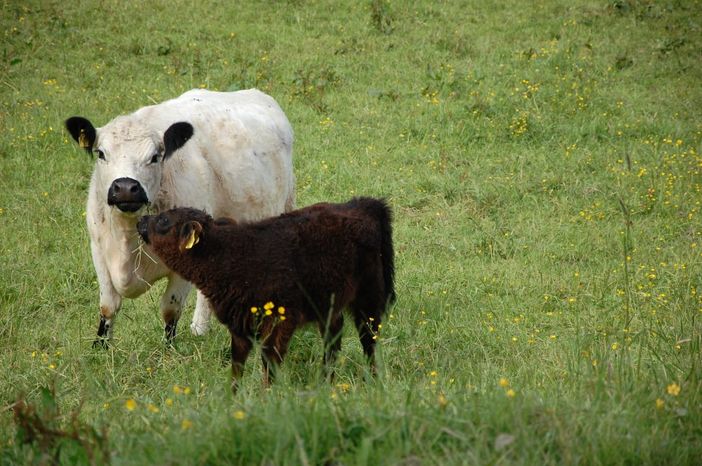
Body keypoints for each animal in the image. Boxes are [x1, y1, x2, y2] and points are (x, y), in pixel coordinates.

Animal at [64, 90, 296, 346]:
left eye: (155, 157)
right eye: (101, 153)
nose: (125, 188)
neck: (128, 240)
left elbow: (170, 310)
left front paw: (168, 349)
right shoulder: (99, 250)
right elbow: (108, 306)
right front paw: (100, 347)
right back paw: (200, 328)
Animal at [135, 197, 394, 390]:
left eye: (164, 220)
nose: (141, 220)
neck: (229, 257)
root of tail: (361, 204)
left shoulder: (280, 321)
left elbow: (269, 361)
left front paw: (267, 395)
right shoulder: (240, 325)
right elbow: (237, 364)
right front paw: (233, 397)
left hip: (369, 299)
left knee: (369, 340)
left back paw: (373, 381)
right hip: (327, 304)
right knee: (333, 338)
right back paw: (325, 382)